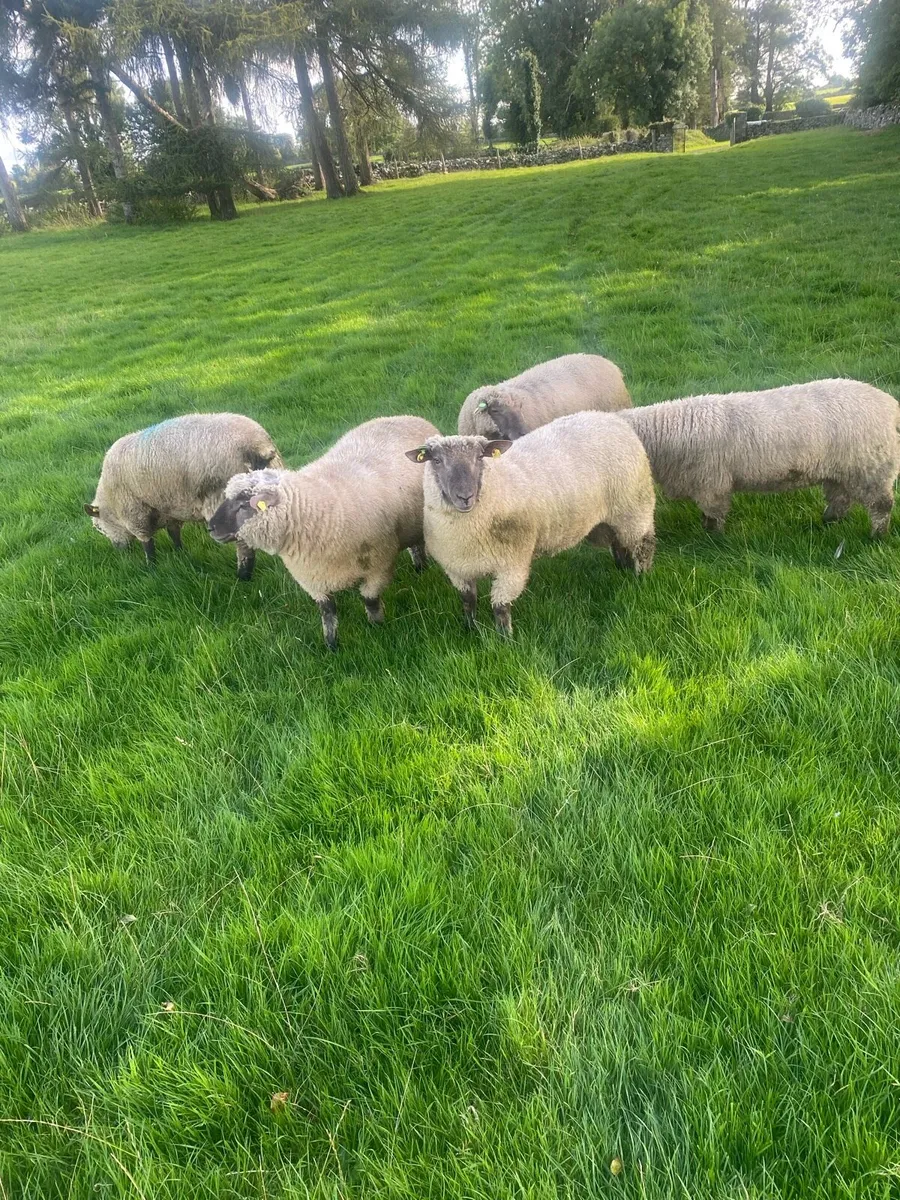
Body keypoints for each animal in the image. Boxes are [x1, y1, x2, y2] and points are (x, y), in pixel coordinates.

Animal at [84, 413, 283, 579]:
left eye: (99, 528)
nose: (120, 551)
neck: (110, 501)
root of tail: (256, 447)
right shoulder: (170, 507)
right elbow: (174, 533)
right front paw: (180, 553)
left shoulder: (134, 512)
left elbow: (147, 542)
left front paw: (151, 566)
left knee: (243, 544)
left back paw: (243, 575)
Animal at [207, 415, 440, 648]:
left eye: (243, 505)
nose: (210, 527)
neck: (316, 509)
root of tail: (405, 417)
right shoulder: (313, 578)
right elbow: (328, 613)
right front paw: (331, 645)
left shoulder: (378, 567)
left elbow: (370, 601)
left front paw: (377, 629)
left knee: (417, 545)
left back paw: (421, 569)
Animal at [407, 411, 656, 636]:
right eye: (436, 460)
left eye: (479, 457)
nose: (465, 497)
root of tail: (610, 418)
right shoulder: (457, 568)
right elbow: (468, 602)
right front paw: (470, 630)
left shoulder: (512, 565)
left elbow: (500, 607)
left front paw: (504, 641)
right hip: (615, 515)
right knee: (619, 542)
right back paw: (622, 568)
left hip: (634, 506)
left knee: (644, 545)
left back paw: (640, 578)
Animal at [621, 379, 900, 535]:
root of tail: (890, 404)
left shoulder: (711, 484)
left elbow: (713, 516)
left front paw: (712, 539)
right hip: (840, 470)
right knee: (840, 499)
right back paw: (828, 522)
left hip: (872, 467)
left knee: (881, 506)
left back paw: (877, 536)